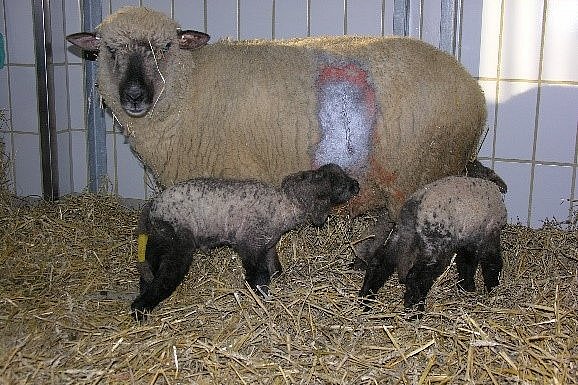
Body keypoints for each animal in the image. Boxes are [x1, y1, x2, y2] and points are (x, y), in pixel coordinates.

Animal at [68, 7, 490, 262]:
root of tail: (474, 89)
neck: (191, 86)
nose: (134, 96)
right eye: (108, 50)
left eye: (167, 46)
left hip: (419, 169)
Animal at [130, 163, 358, 318]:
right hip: (177, 242)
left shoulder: (267, 245)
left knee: (148, 271)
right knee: (165, 276)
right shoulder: (249, 244)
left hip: (158, 241)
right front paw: (260, 296)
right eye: (341, 185)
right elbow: (258, 276)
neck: (284, 206)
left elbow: (274, 269)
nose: (357, 185)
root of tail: (153, 207)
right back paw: (140, 310)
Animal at [358, 176, 506, 314]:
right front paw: (477, 287)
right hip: (435, 243)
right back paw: (415, 308)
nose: (494, 288)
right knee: (417, 276)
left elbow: (465, 262)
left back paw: (365, 298)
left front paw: (465, 287)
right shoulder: (482, 238)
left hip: (401, 233)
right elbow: (486, 263)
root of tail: (417, 202)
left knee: (378, 262)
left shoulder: (467, 240)